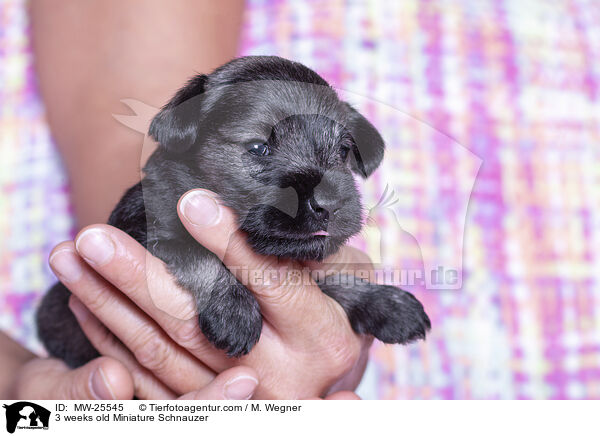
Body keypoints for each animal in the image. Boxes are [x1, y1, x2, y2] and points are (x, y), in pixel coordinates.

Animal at [36, 55, 432, 368]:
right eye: (258, 147)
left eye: (344, 150)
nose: (331, 202)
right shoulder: (147, 233)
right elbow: (200, 255)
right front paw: (234, 312)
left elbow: (330, 282)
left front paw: (384, 302)